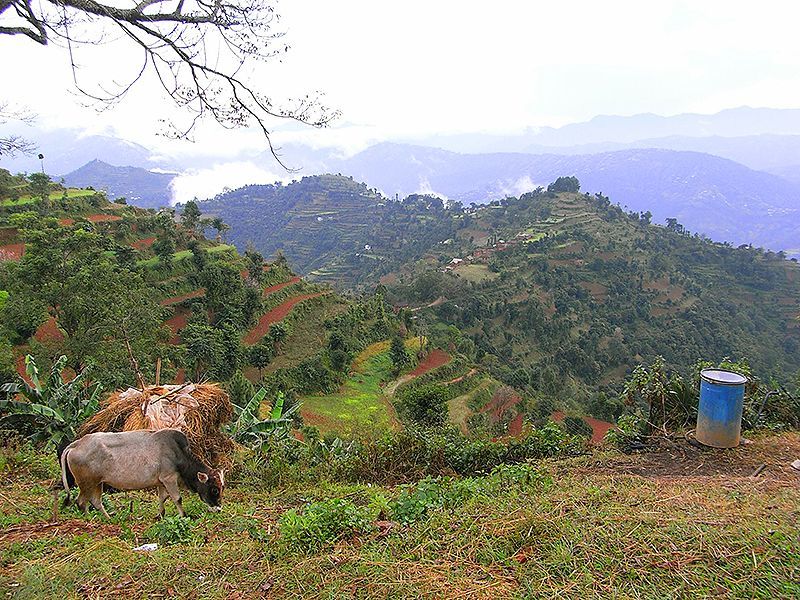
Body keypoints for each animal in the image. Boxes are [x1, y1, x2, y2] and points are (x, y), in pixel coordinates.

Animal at [59, 428, 225, 516]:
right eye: (214, 489)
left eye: (222, 487)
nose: (218, 508)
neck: (178, 453)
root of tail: (76, 444)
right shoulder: (169, 478)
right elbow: (177, 498)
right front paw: (183, 515)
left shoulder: (161, 482)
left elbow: (162, 498)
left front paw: (160, 515)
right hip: (86, 483)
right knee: (81, 502)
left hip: (97, 483)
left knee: (95, 501)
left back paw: (108, 518)